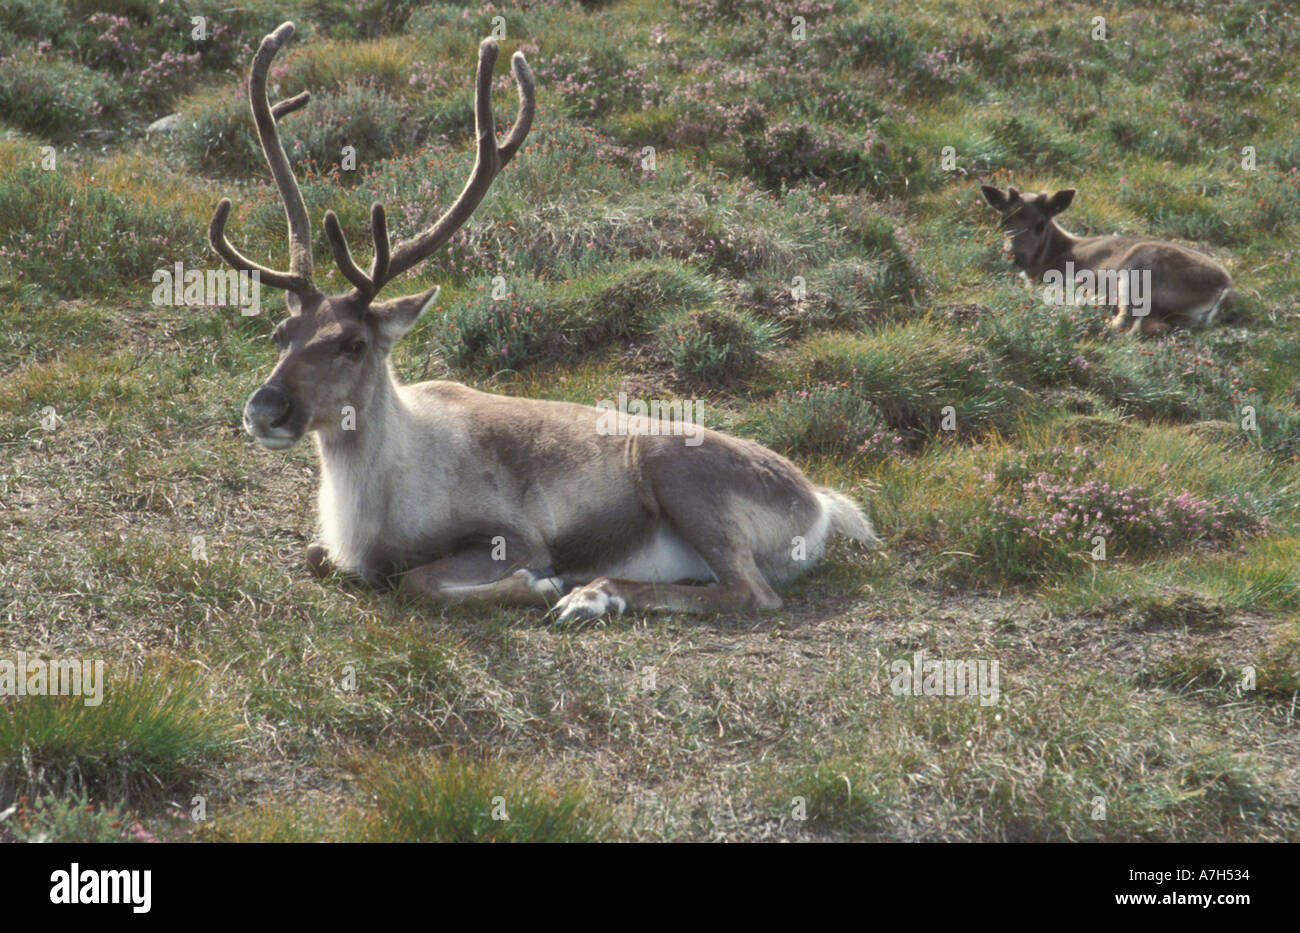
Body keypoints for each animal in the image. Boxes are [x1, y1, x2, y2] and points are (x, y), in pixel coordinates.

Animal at [211, 23, 882, 623]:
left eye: (353, 343)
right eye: (279, 335)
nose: (265, 408)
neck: (369, 506)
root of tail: (819, 503)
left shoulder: (512, 533)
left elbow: (417, 580)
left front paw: (539, 585)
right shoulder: (336, 546)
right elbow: (315, 556)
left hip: (678, 468)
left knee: (750, 592)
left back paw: (591, 596)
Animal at [980, 185, 1233, 336]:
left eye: (1040, 224)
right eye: (1004, 220)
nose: (1016, 257)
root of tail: (1225, 288)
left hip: (1138, 271)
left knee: (1126, 323)